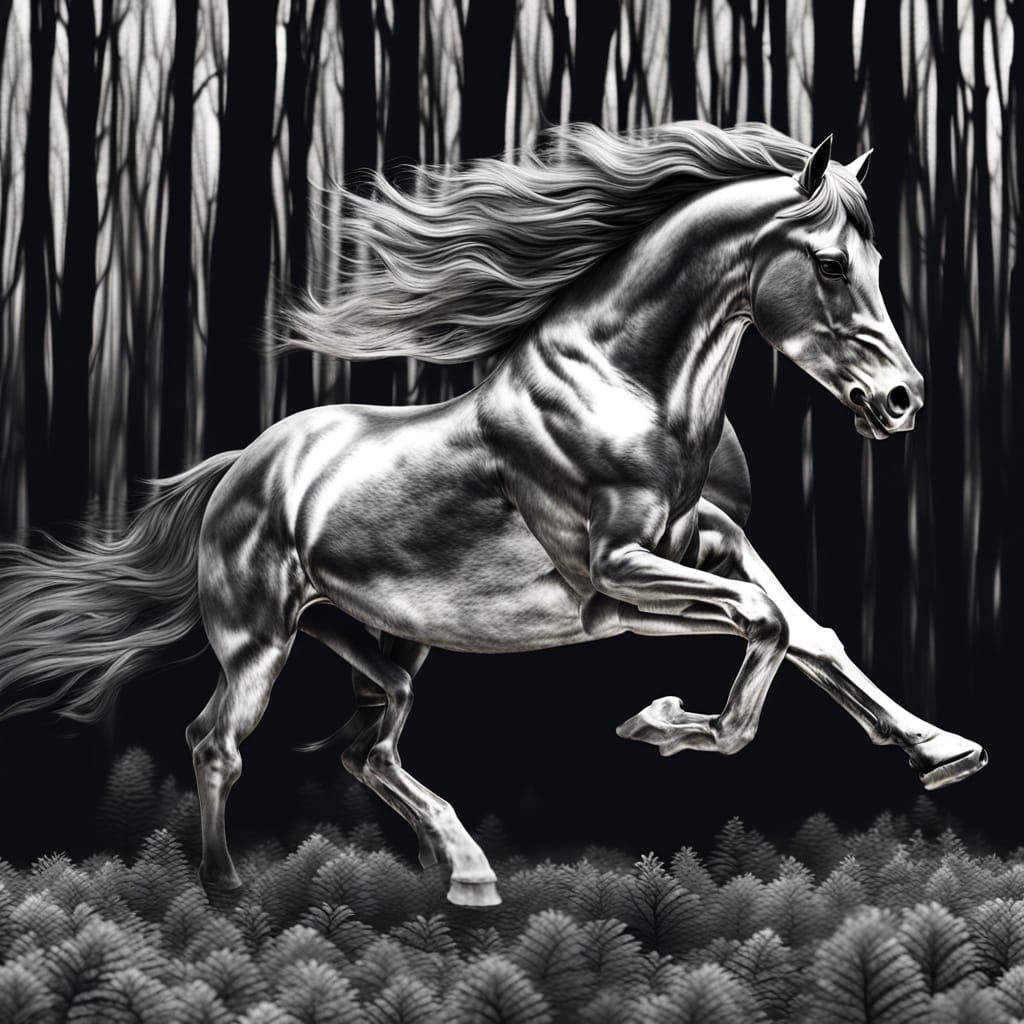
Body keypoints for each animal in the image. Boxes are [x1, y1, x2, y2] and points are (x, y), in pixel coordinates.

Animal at [0, 122, 986, 908]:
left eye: (879, 263)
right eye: (830, 263)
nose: (902, 401)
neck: (629, 388)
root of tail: (242, 467)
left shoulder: (710, 542)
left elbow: (808, 630)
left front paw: (943, 748)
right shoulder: (616, 584)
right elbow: (762, 627)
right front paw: (664, 721)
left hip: (392, 640)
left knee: (368, 749)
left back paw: (469, 874)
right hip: (259, 640)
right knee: (216, 744)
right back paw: (226, 890)